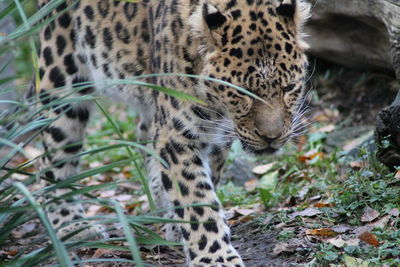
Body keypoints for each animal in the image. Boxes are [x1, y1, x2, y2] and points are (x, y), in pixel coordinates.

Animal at [34, 0, 312, 266]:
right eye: (241, 92)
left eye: (289, 88)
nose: (271, 137)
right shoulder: (177, 136)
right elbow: (198, 201)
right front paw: (215, 256)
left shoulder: (217, 136)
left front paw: (179, 228)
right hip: (62, 80)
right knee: (54, 157)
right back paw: (72, 224)